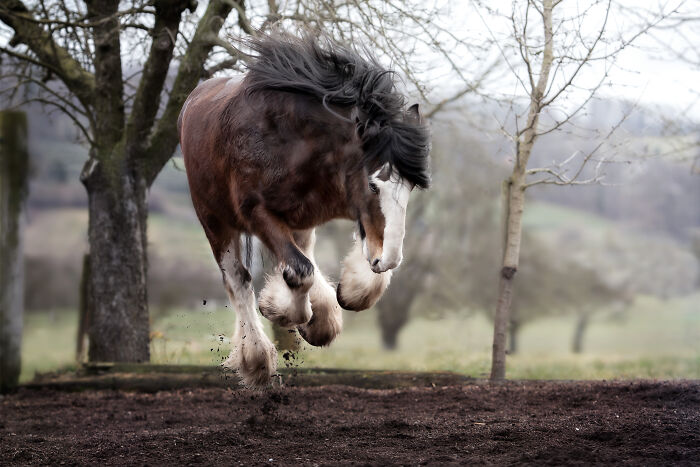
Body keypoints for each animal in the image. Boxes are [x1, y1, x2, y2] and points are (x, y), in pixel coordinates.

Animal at [178, 34, 430, 387]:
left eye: (410, 188)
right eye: (373, 185)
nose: (388, 258)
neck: (292, 141)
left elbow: (339, 267)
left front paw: (344, 297)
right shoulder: (258, 213)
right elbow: (298, 272)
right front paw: (283, 312)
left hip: (299, 218)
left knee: (302, 253)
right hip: (215, 221)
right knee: (239, 278)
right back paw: (256, 358)